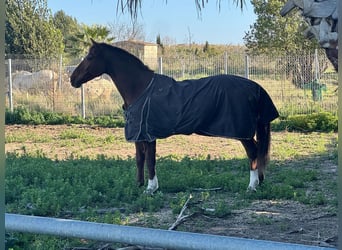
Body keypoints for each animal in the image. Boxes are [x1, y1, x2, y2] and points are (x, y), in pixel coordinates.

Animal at [69, 39, 278, 195]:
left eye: (90, 56)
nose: (72, 79)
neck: (140, 88)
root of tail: (255, 87)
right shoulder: (139, 135)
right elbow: (139, 159)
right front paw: (138, 185)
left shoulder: (149, 135)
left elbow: (150, 161)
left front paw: (151, 188)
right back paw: (259, 181)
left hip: (242, 133)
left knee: (253, 152)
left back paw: (251, 186)